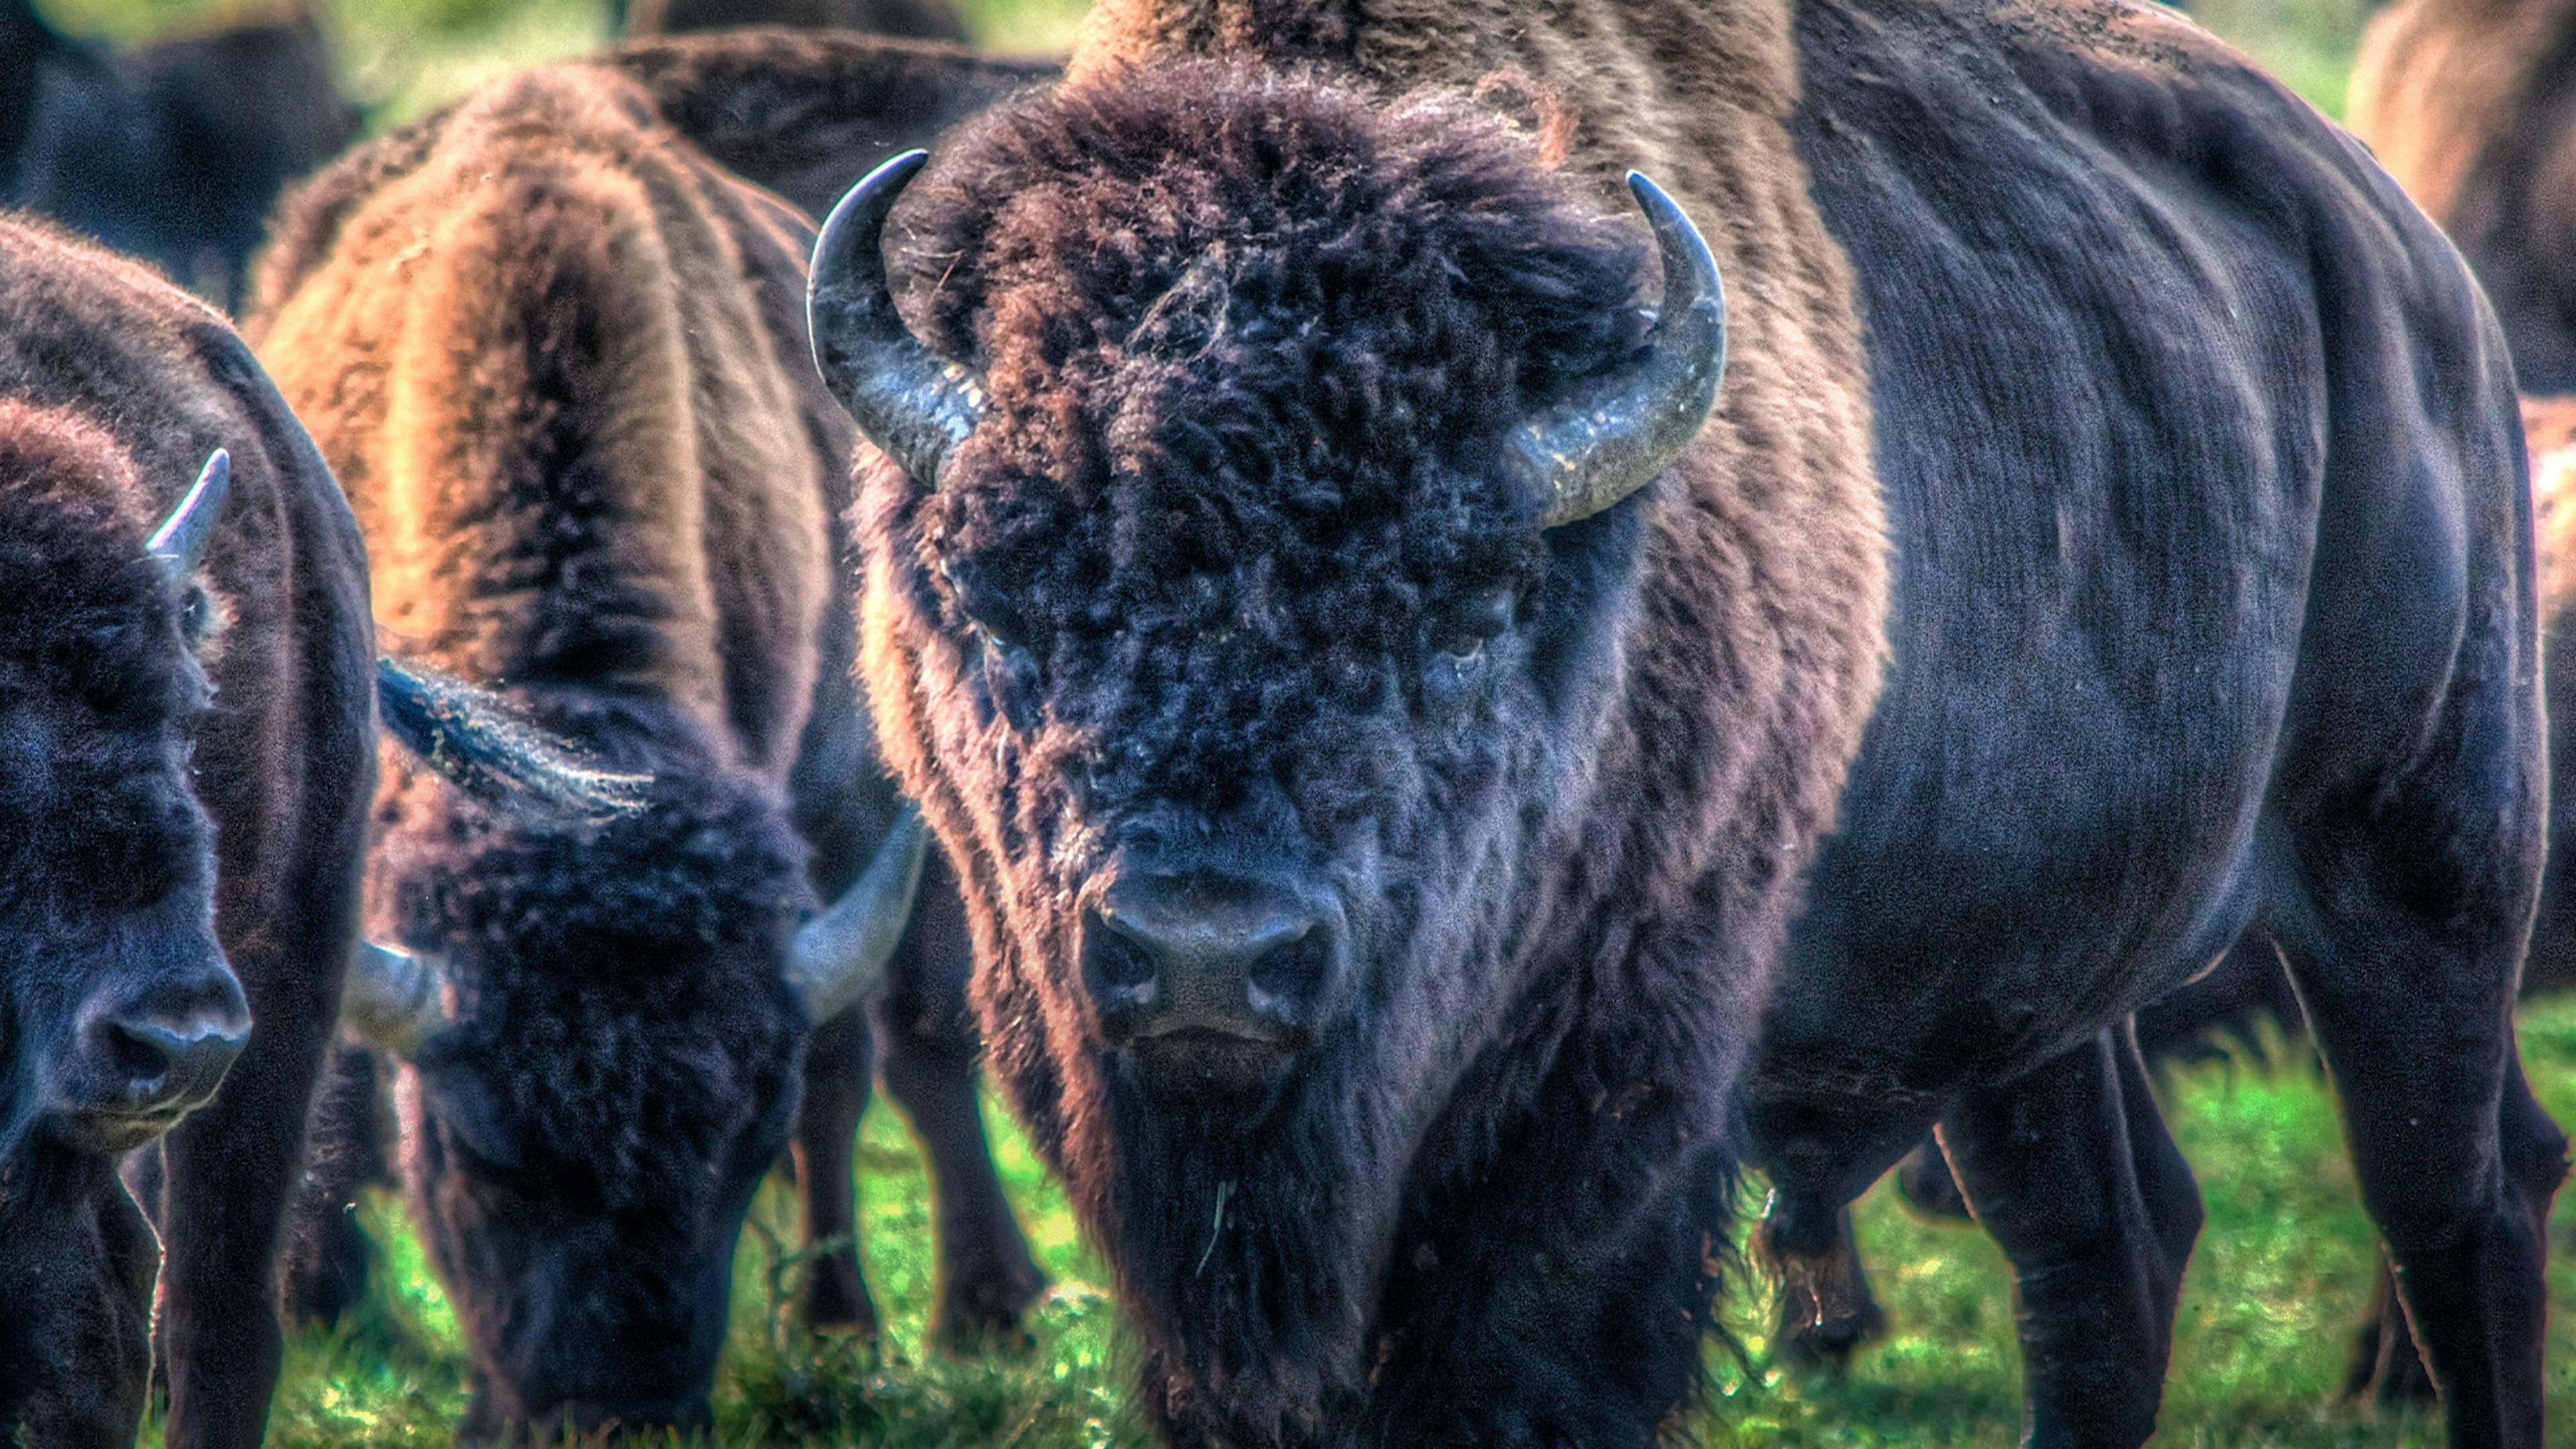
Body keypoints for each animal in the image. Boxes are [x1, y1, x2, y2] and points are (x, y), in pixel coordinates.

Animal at [804, 0, 2555, 1433]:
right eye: (1000, 598)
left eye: (1468, 614)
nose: (1206, 957)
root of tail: (2409, 268)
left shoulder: (1592, 1136)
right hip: (2038, 988)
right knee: (2105, 1250)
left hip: (2420, 870)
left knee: (2461, 1205)